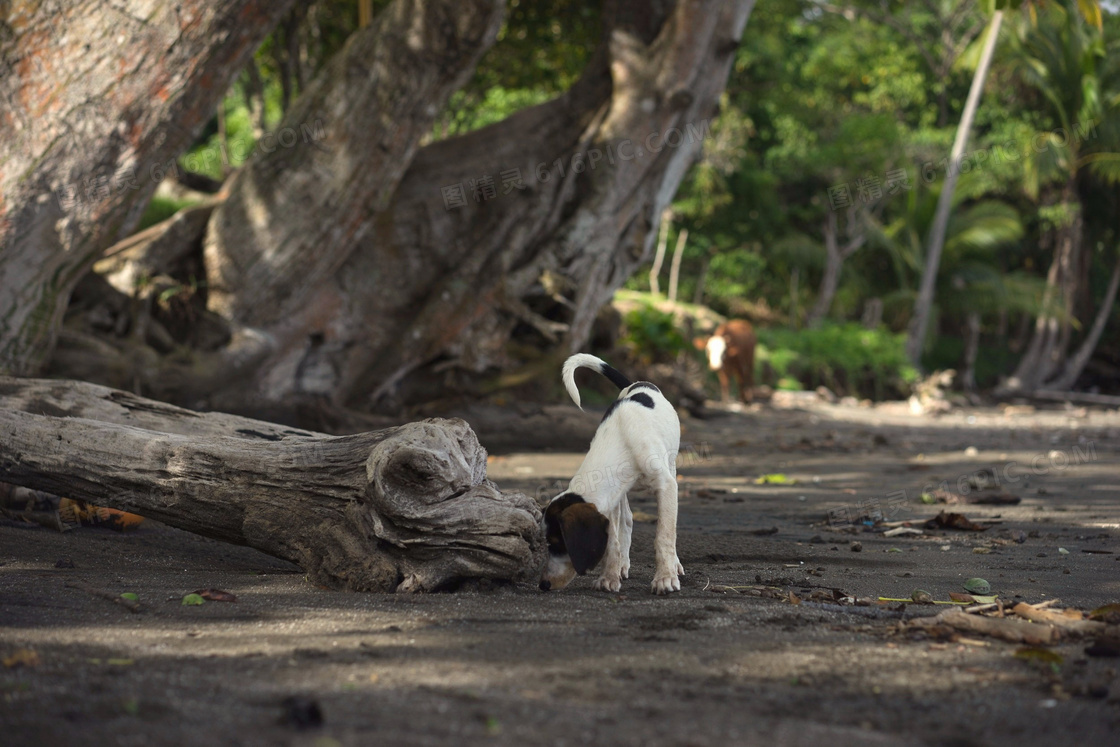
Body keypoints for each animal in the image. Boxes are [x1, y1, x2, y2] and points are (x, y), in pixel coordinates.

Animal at [539, 356, 680, 595]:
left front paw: (665, 578)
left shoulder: (666, 485)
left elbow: (664, 535)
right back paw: (622, 564)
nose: (543, 584)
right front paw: (609, 576)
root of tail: (637, 383)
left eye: (557, 543)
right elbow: (612, 542)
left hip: (671, 465)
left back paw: (674, 565)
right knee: (627, 520)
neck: (622, 437)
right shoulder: (611, 499)